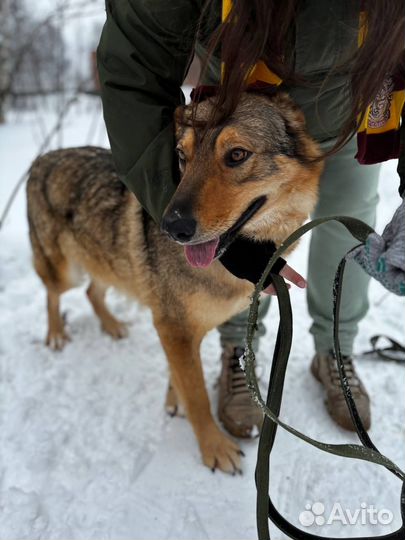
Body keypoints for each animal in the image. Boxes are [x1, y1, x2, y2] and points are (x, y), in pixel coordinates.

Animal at [26, 92, 322, 472]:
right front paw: (214, 448)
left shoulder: (177, 327)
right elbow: (197, 395)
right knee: (53, 294)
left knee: (93, 292)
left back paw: (112, 326)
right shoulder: (173, 326)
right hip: (67, 272)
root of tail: (41, 159)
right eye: (182, 156)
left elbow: (179, 375)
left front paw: (174, 399)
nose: (171, 227)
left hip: (109, 265)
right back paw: (56, 335)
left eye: (237, 155)